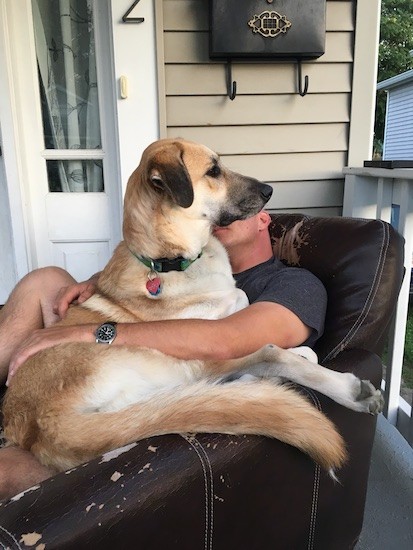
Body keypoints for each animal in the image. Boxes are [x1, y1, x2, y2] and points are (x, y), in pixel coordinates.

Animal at [2, 139, 384, 478]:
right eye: (213, 170)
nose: (270, 190)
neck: (169, 260)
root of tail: (39, 428)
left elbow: (244, 304)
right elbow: (241, 306)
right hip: (185, 361)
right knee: (263, 357)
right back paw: (349, 390)